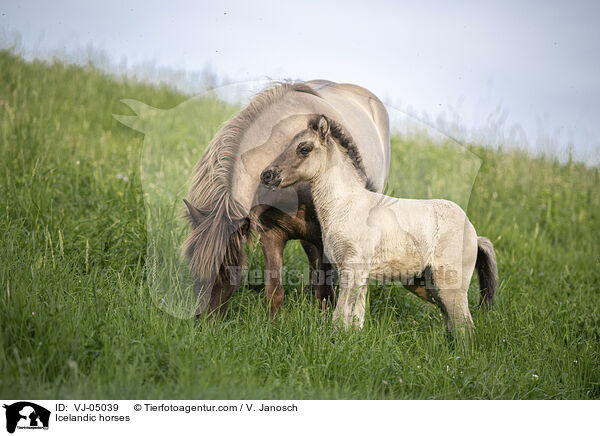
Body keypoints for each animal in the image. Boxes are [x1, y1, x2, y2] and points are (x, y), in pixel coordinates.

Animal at [183, 80, 390, 316]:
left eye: (229, 269)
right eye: (193, 266)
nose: (203, 319)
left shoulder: (323, 237)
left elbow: (325, 294)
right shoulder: (271, 235)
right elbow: (274, 293)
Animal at [260, 115, 500, 334]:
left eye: (304, 148)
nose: (267, 175)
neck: (346, 205)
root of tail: (474, 234)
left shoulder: (352, 269)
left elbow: (339, 317)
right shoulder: (361, 276)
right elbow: (355, 320)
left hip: (450, 286)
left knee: (465, 328)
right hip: (426, 285)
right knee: (452, 323)